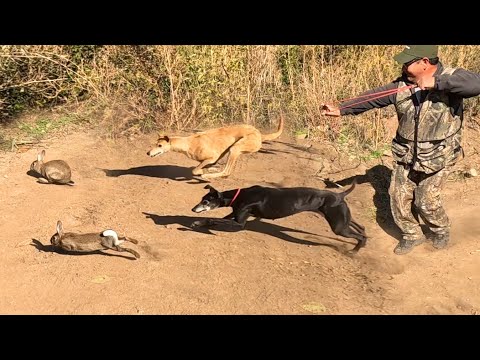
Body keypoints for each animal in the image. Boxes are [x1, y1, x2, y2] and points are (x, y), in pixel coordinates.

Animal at [146, 115, 282, 179]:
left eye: (159, 145)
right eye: (155, 144)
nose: (148, 153)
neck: (187, 143)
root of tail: (259, 134)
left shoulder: (212, 157)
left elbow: (195, 170)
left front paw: (202, 172)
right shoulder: (212, 159)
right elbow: (203, 166)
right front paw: (210, 169)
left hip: (234, 149)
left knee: (227, 171)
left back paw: (208, 176)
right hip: (230, 150)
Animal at [191, 181, 368, 252]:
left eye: (205, 201)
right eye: (201, 199)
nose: (193, 208)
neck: (239, 195)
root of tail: (339, 195)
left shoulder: (240, 224)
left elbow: (213, 219)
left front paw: (197, 224)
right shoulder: (234, 215)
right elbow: (218, 219)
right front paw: (199, 223)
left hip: (338, 227)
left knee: (358, 235)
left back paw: (355, 250)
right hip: (342, 219)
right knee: (361, 227)